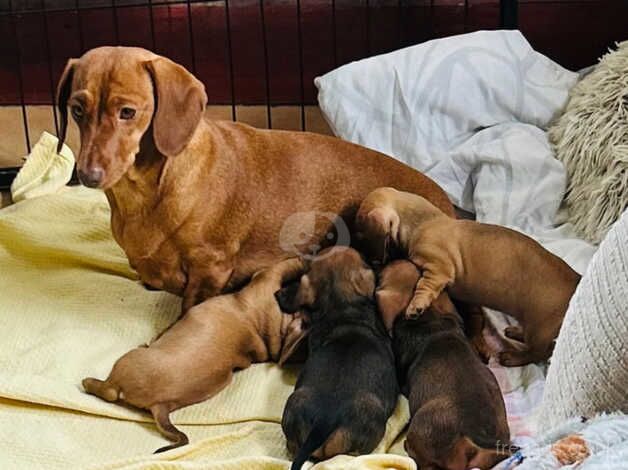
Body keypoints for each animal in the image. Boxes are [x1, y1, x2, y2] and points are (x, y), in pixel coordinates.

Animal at [82, 255, 308, 454]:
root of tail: (160, 406)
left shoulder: (267, 277)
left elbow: (283, 266)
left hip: (127, 361)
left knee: (109, 392)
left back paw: (88, 382)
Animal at [356, 188, 580, 368]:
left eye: (361, 233)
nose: (370, 261)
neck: (424, 222)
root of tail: (578, 279)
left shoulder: (438, 269)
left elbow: (424, 287)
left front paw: (416, 305)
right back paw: (517, 333)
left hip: (540, 328)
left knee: (539, 352)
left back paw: (513, 357)